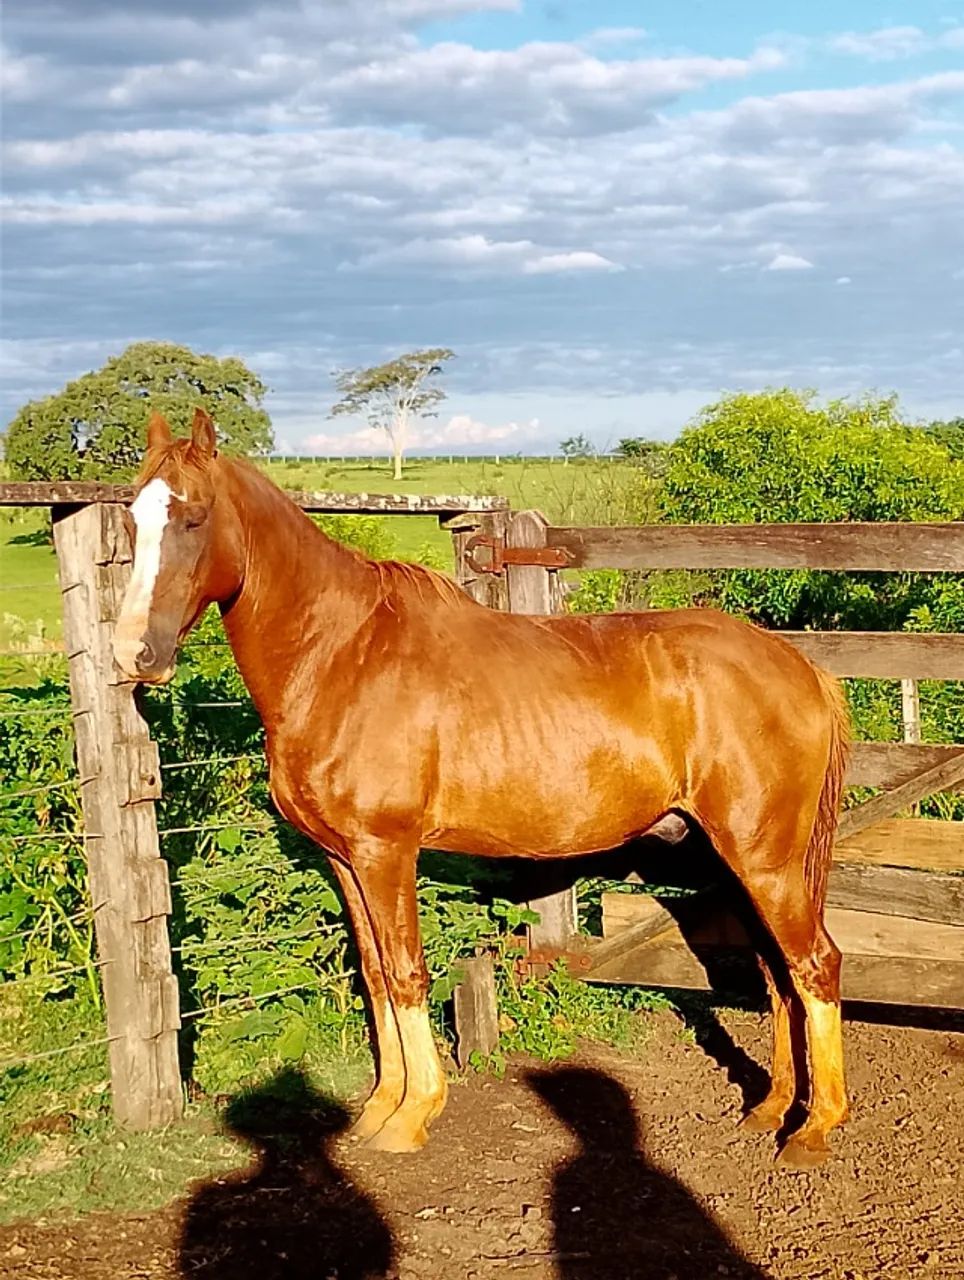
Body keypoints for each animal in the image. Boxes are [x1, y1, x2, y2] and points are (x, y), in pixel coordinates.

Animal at [113, 408, 850, 1168]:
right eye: (133, 520)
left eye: (194, 516)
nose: (133, 653)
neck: (341, 657)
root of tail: (801, 669)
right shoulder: (343, 859)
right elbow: (374, 974)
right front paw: (378, 1109)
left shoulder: (386, 853)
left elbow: (406, 972)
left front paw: (412, 1116)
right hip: (732, 859)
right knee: (777, 972)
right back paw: (771, 1109)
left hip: (765, 860)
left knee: (815, 964)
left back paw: (815, 1128)